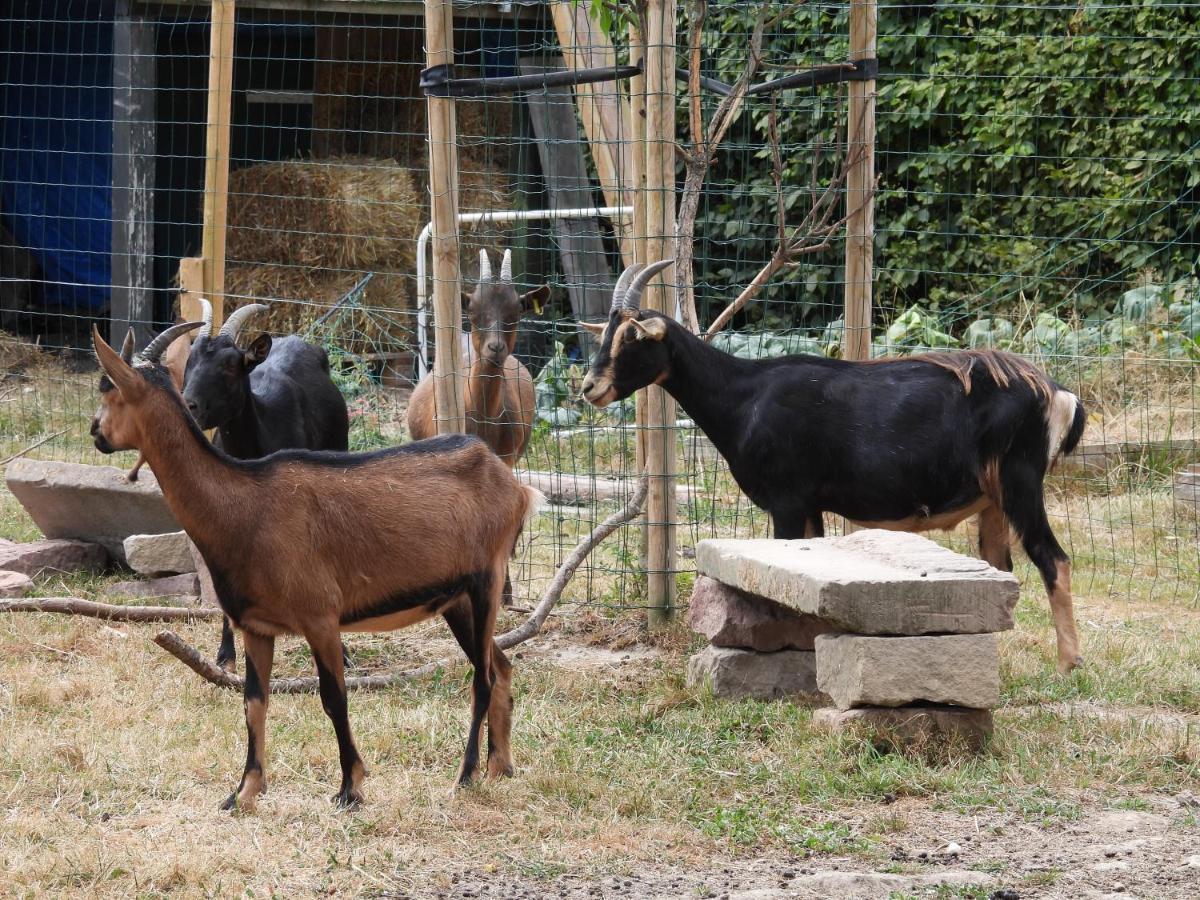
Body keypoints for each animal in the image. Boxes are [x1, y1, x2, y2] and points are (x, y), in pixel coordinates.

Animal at [580, 259, 1089, 672]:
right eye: (604, 335)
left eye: (633, 337)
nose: (590, 388)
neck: (745, 396)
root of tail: (1057, 393)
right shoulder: (809, 505)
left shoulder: (786, 501)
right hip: (992, 500)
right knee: (1002, 567)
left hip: (1020, 483)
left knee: (1054, 560)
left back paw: (1068, 664)